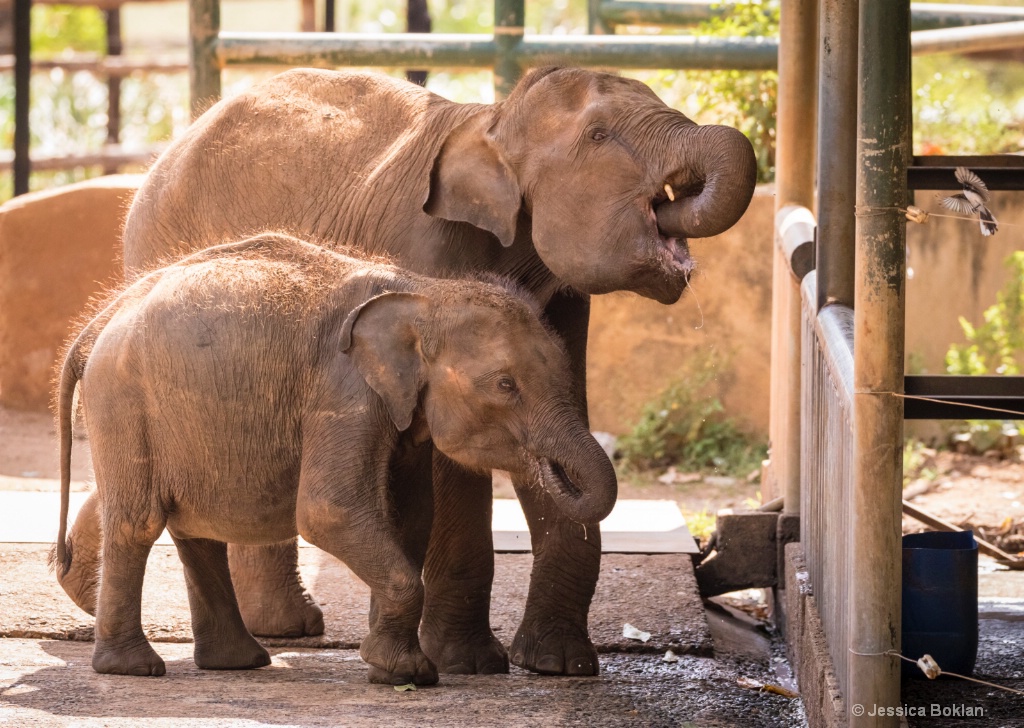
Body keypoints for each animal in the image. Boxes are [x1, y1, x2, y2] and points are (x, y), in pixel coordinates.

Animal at [56, 233, 614, 683]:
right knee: (138, 522)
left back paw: (239, 663)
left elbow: (411, 516)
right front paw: (405, 673)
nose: (546, 466)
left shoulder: (399, 410)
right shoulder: (344, 389)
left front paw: (389, 665)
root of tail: (102, 318)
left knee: (194, 526)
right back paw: (135, 670)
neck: (427, 291)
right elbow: (331, 511)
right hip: (123, 404)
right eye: (505, 385)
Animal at [112, 67, 757, 675]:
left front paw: (560, 666)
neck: (495, 122)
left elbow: (563, 398)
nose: (674, 200)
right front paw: (467, 664)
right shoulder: (425, 254)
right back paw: (282, 631)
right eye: (599, 135)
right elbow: (449, 457)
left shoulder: (564, 295)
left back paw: (285, 628)